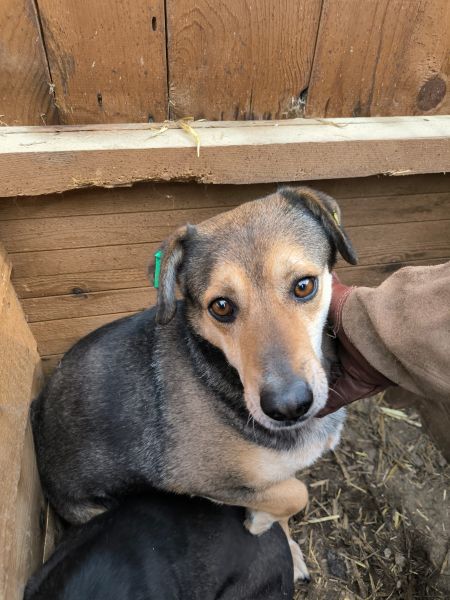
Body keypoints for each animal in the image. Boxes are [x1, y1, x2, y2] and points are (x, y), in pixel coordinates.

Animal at [31, 186, 357, 581]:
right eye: (221, 307)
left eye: (304, 285)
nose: (288, 406)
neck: (218, 374)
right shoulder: (199, 480)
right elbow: (295, 493)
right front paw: (261, 523)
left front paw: (287, 548)